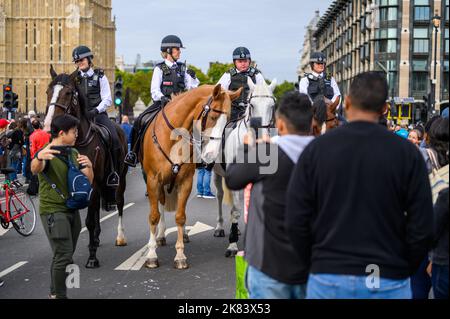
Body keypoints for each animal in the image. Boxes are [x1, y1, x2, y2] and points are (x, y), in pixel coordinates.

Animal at [44, 65, 128, 270]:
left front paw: (92, 258)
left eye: (68, 93)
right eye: (48, 91)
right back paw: (96, 239)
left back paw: (120, 237)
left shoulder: (95, 183)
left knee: (119, 203)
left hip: (120, 179)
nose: (49, 126)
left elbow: (89, 221)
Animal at [142, 84, 243, 268]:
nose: (212, 155)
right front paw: (151, 255)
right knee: (160, 205)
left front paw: (180, 256)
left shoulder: (185, 182)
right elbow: (153, 216)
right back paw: (160, 236)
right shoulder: (153, 181)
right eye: (213, 116)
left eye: (227, 120)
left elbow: (180, 217)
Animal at [212, 79, 278, 258]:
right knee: (220, 196)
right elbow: (236, 210)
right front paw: (232, 244)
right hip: (216, 173)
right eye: (252, 105)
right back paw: (220, 227)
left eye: (272, 106)